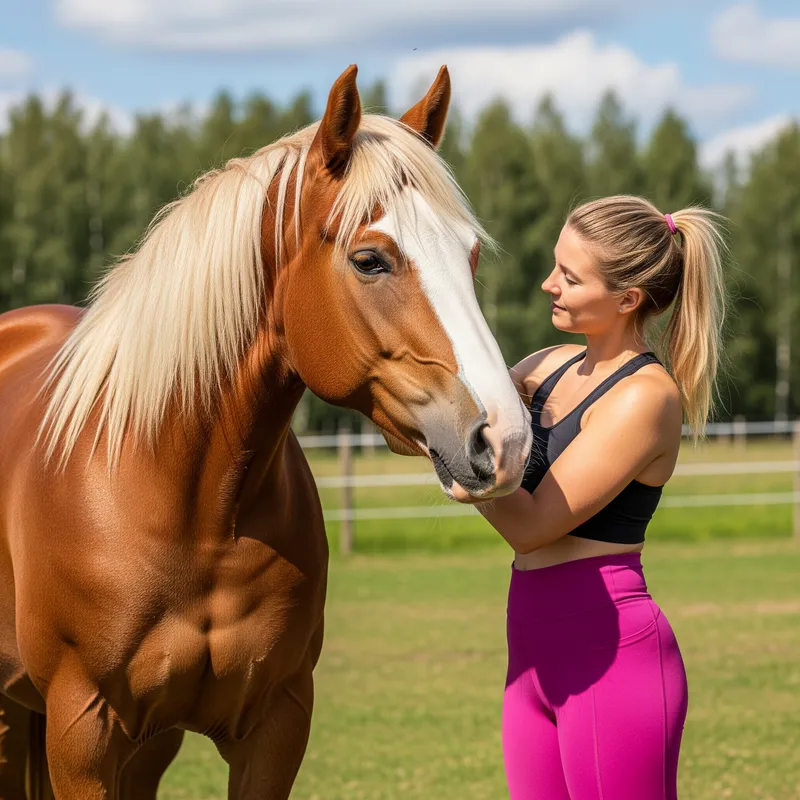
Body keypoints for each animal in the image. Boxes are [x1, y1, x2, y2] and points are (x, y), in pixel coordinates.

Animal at [0, 65, 532, 799]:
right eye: (370, 260)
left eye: (470, 255)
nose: (504, 438)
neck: (189, 506)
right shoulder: (83, 731)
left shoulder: (274, 723)